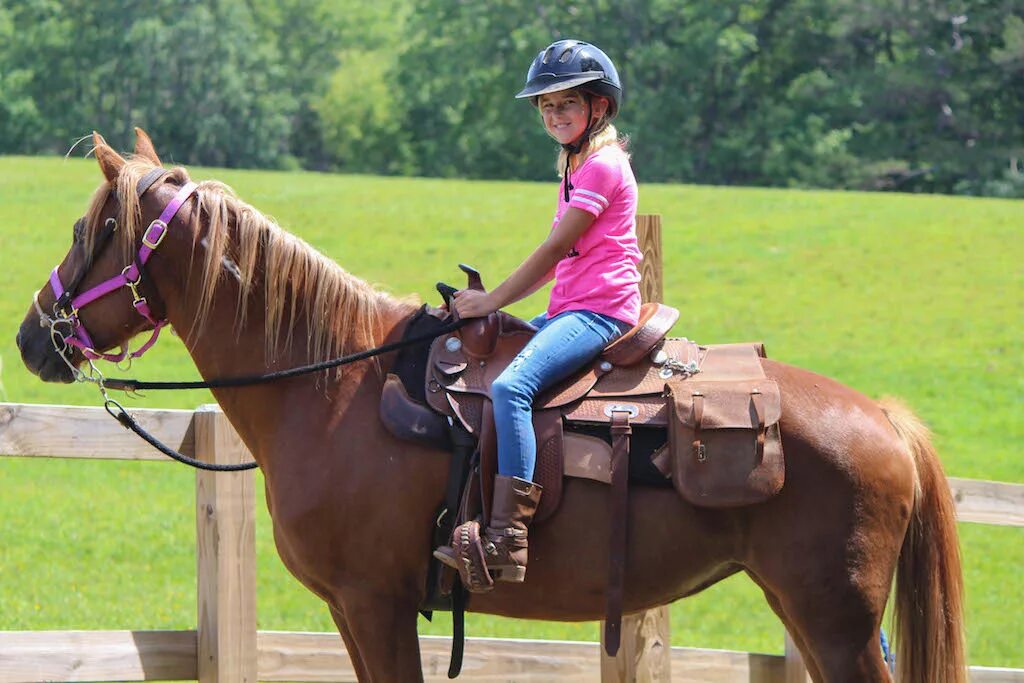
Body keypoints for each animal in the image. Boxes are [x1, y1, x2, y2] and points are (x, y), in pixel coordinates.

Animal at [18, 131, 966, 679]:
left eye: (91, 229)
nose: (34, 335)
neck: (329, 385)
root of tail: (883, 418)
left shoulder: (375, 602)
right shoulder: (351, 610)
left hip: (835, 618)